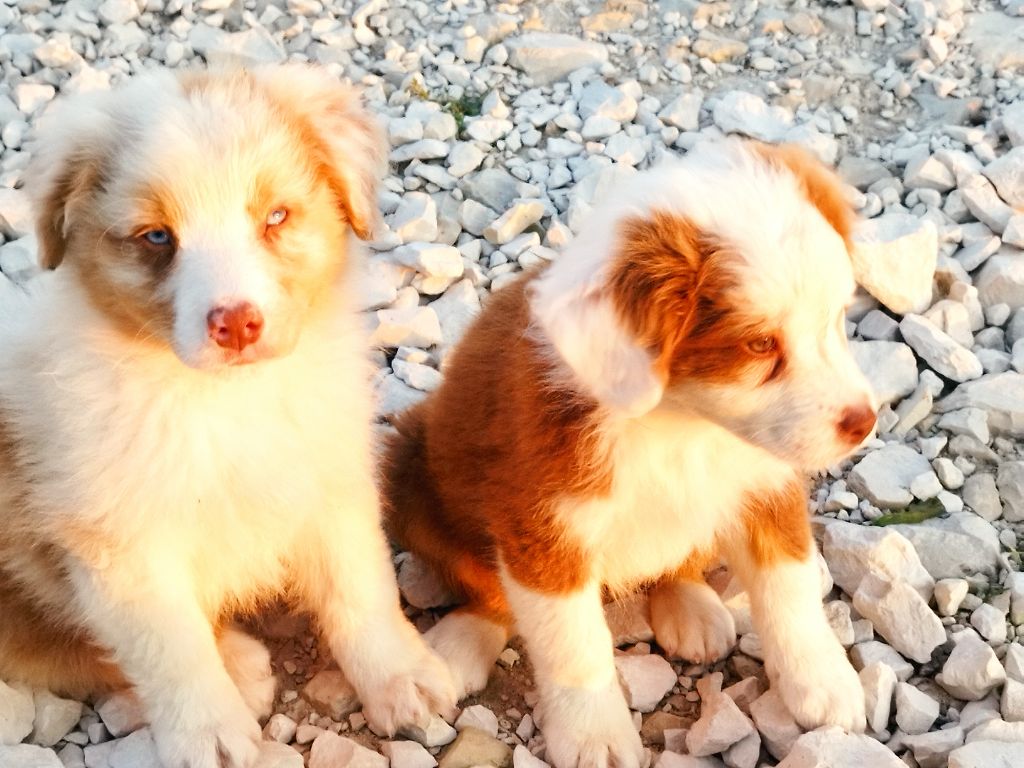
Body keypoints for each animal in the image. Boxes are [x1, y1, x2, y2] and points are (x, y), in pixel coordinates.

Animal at [0, 67, 452, 768]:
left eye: (275, 217)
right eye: (158, 236)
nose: (236, 324)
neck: (224, 403)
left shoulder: (328, 479)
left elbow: (361, 590)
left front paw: (402, 678)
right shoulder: (118, 543)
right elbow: (169, 650)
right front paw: (210, 734)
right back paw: (239, 666)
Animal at [385, 141, 872, 768]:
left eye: (837, 317)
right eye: (760, 344)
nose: (864, 422)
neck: (681, 426)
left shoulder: (765, 480)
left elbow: (789, 585)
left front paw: (825, 683)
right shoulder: (541, 525)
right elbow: (572, 642)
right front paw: (594, 736)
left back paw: (690, 606)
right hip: (411, 467)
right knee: (485, 586)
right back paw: (460, 642)